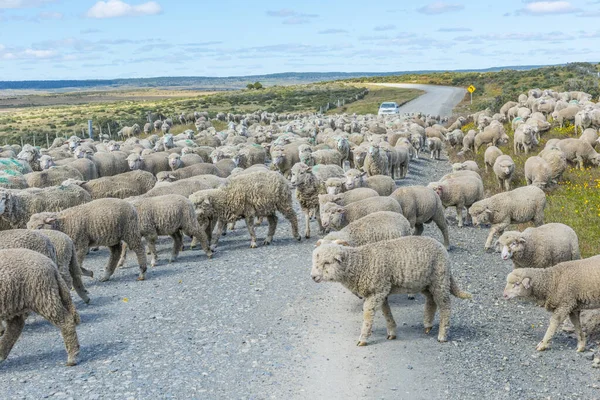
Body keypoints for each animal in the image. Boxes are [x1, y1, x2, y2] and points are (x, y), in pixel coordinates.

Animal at [312, 238, 472, 344]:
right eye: (315, 260)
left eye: (327, 263)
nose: (313, 277)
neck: (361, 264)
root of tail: (441, 247)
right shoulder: (381, 290)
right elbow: (386, 312)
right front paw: (392, 332)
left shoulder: (376, 292)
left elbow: (368, 315)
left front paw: (363, 338)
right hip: (426, 283)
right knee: (431, 300)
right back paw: (427, 325)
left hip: (439, 279)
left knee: (445, 306)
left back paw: (442, 335)